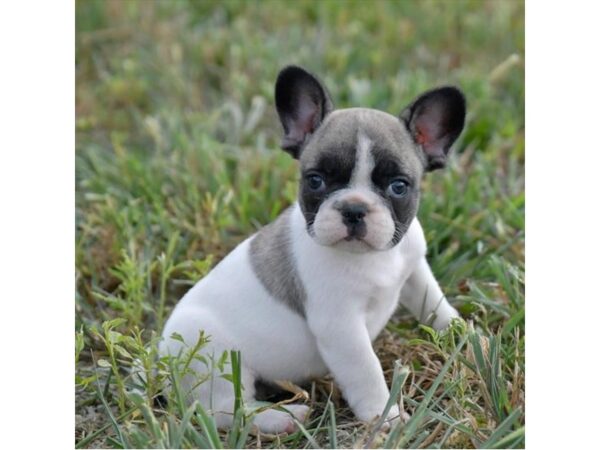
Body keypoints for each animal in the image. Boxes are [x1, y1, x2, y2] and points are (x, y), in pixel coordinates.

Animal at [162, 65, 466, 434]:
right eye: (315, 181)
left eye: (398, 187)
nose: (354, 208)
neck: (374, 258)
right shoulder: (342, 327)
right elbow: (367, 371)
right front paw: (385, 417)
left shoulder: (413, 268)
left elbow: (433, 301)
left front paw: (460, 333)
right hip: (215, 357)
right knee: (225, 411)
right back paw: (285, 417)